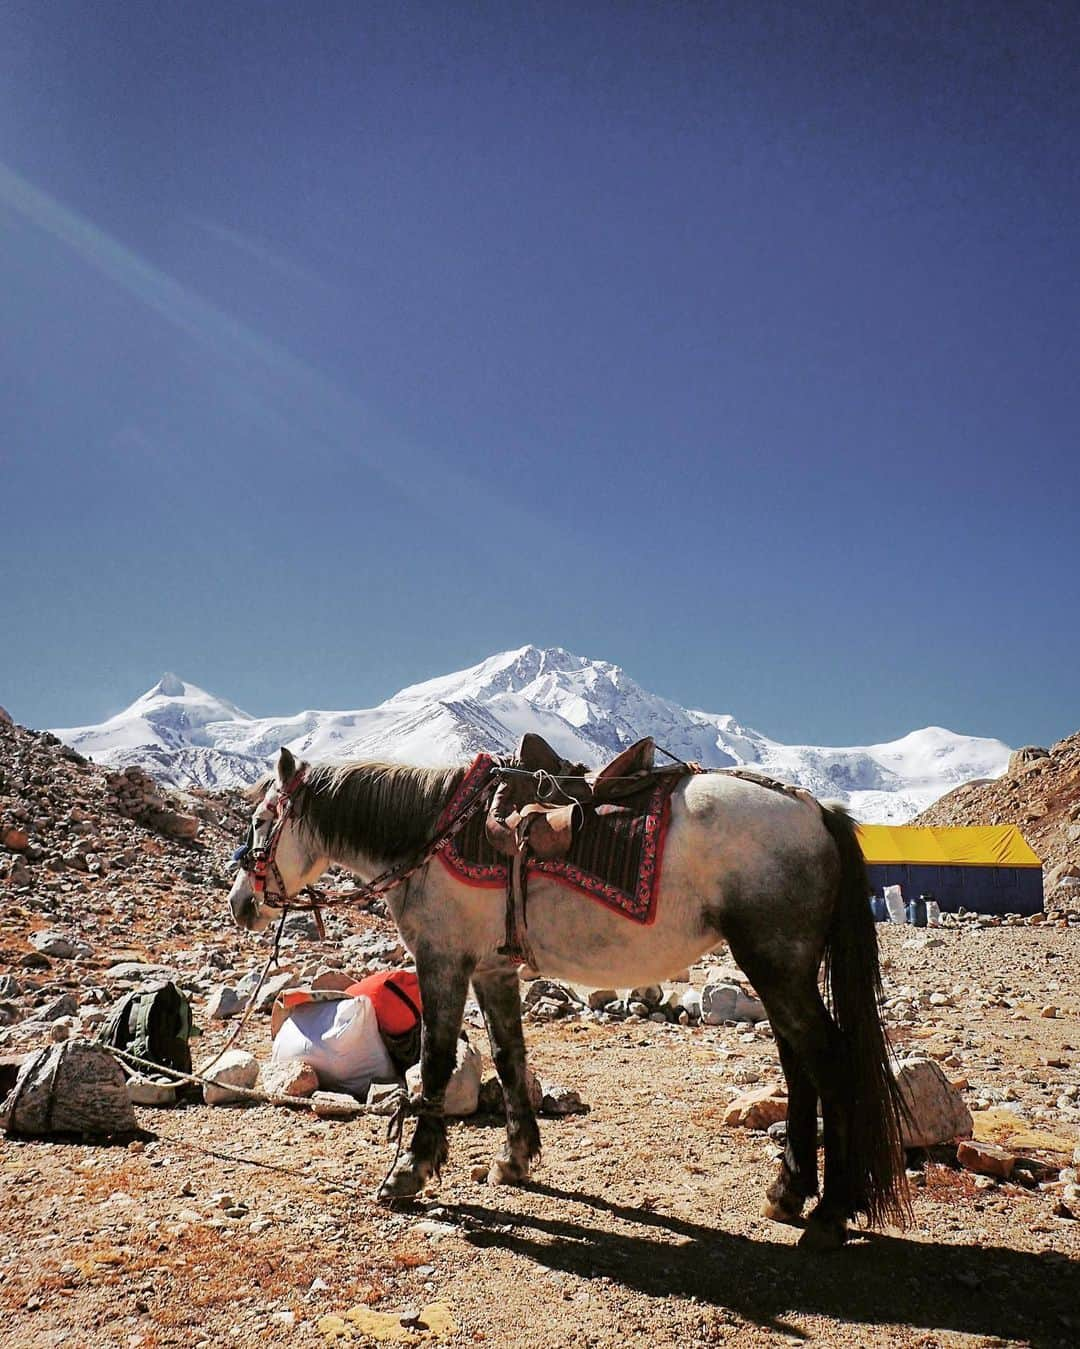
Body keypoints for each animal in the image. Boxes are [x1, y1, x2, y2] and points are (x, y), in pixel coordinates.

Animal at [229, 744, 911, 1246]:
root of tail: (815, 809)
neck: (430, 832)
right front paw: (515, 1160)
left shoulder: (443, 960)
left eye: (262, 822)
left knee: (827, 1061)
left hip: (775, 963)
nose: (241, 905)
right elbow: (510, 1057)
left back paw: (830, 1212)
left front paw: (408, 1173)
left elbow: (437, 1061)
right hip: (781, 970)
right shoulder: (493, 969)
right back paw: (788, 1193)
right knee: (800, 1064)